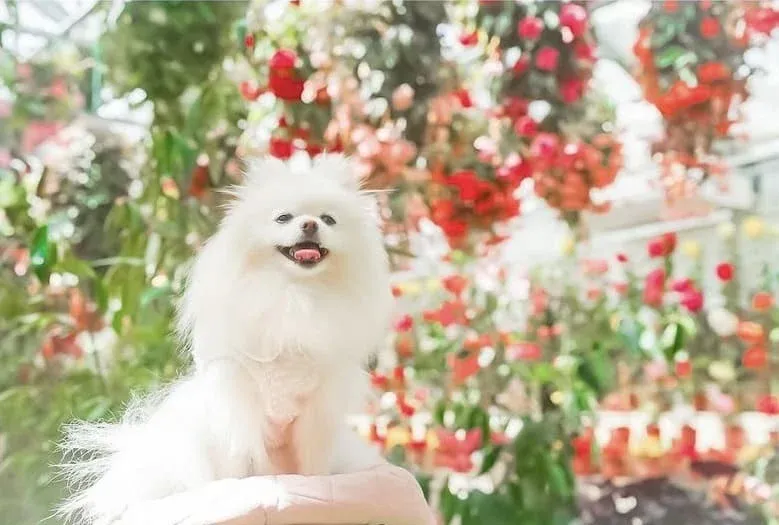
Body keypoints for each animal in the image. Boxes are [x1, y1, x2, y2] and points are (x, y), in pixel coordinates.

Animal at [61, 155, 394, 524]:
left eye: (328, 220)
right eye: (283, 217)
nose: (309, 225)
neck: (294, 295)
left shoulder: (316, 412)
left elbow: (312, 465)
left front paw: (315, 486)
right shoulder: (240, 403)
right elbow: (244, 460)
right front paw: (245, 488)